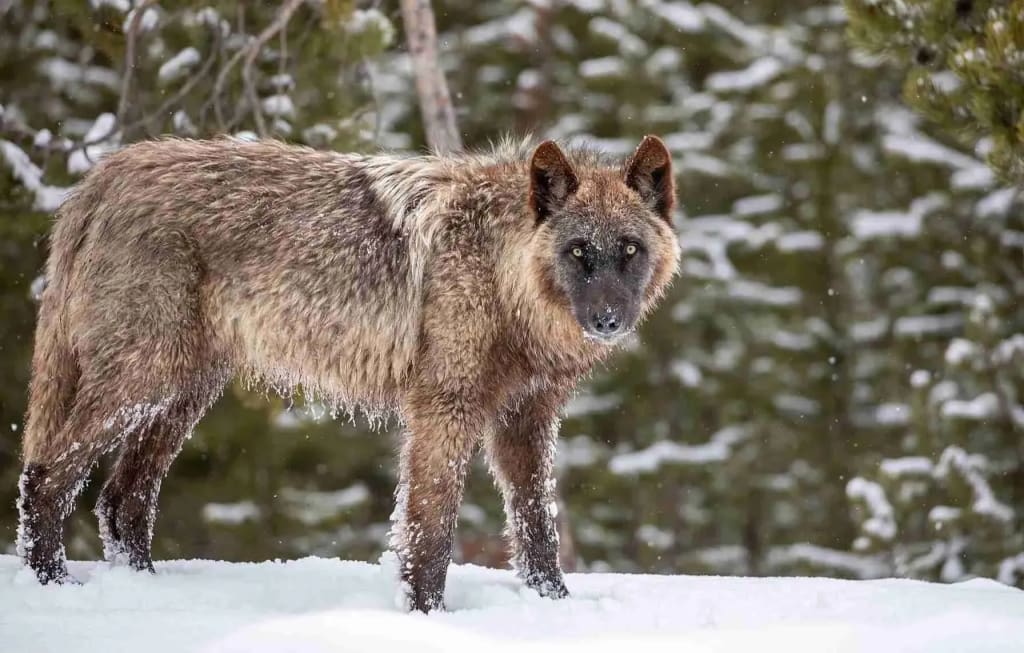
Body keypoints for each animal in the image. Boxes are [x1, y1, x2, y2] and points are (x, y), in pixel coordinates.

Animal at [17, 134, 679, 611]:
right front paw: (426, 617)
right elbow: (430, 531)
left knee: (120, 500)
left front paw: (555, 610)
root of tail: (103, 175)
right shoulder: (444, 410)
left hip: (181, 394)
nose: (607, 319)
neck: (501, 273)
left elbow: (537, 527)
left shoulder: (526, 421)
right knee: (46, 477)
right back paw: (56, 590)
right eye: (577, 252)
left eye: (629, 250)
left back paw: (148, 593)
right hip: (143, 384)